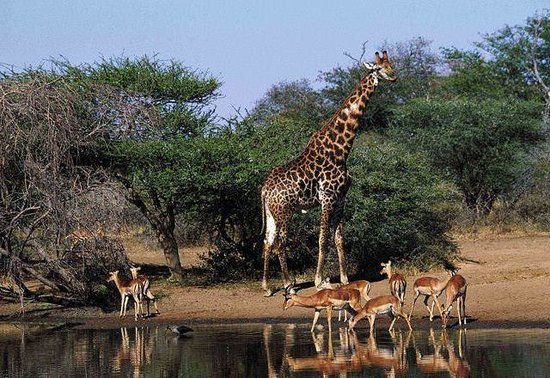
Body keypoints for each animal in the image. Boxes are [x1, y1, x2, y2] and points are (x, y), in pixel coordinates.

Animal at [262, 49, 396, 296]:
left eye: (391, 64)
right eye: (379, 68)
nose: (394, 76)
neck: (341, 149)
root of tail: (265, 190)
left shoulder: (341, 198)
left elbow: (339, 238)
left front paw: (344, 278)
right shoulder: (327, 198)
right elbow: (323, 238)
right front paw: (319, 280)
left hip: (272, 212)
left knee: (268, 241)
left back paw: (266, 287)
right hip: (285, 211)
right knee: (280, 243)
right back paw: (289, 285)